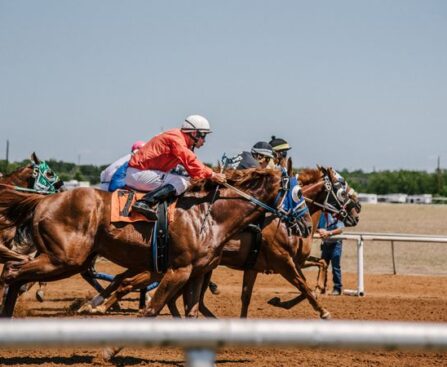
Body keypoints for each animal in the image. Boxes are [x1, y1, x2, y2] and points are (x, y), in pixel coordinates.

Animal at [0, 168, 288, 318]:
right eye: (292, 189)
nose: (295, 222)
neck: (209, 215)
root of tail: (44, 199)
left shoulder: (196, 272)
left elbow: (191, 312)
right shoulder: (178, 270)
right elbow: (151, 307)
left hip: (63, 258)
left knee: (16, 274)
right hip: (65, 259)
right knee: (13, 272)